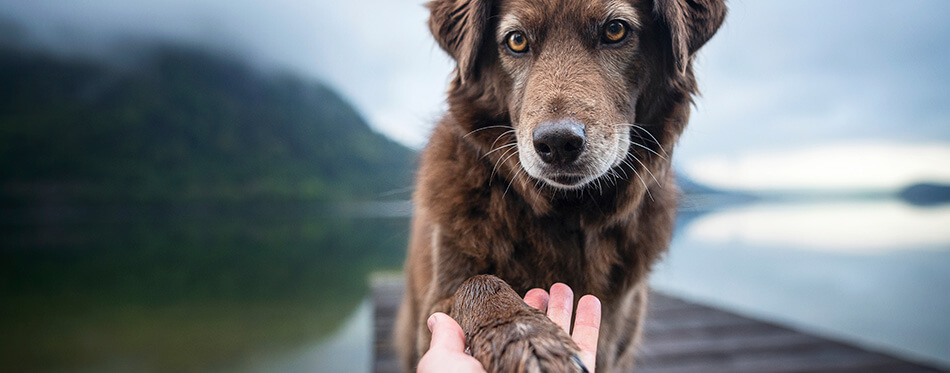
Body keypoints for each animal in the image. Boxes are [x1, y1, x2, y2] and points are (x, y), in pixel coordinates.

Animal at [398, 0, 724, 370]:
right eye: (516, 40)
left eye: (615, 30)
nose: (557, 143)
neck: (567, 213)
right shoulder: (436, 304)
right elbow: (478, 284)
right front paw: (525, 337)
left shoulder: (616, 341)